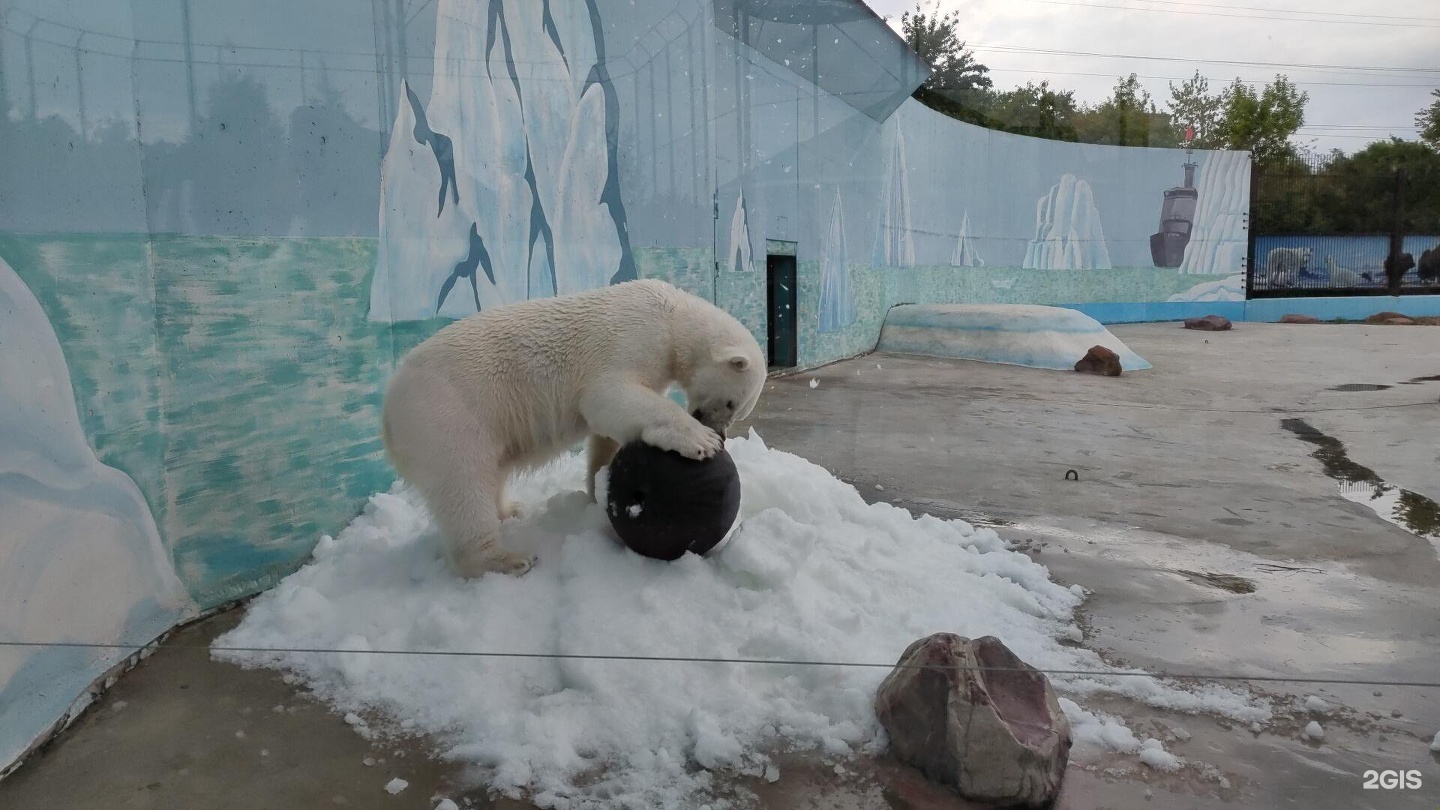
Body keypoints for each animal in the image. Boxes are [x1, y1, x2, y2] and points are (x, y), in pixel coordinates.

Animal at [380, 281, 766, 576]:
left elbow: (606, 434)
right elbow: (607, 397)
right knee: (463, 484)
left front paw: (598, 489)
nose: (722, 433)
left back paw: (508, 510)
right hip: (446, 415)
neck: (673, 317)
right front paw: (700, 440)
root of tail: (388, 413)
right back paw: (507, 559)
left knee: (491, 472)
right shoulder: (632, 337)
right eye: (731, 404)